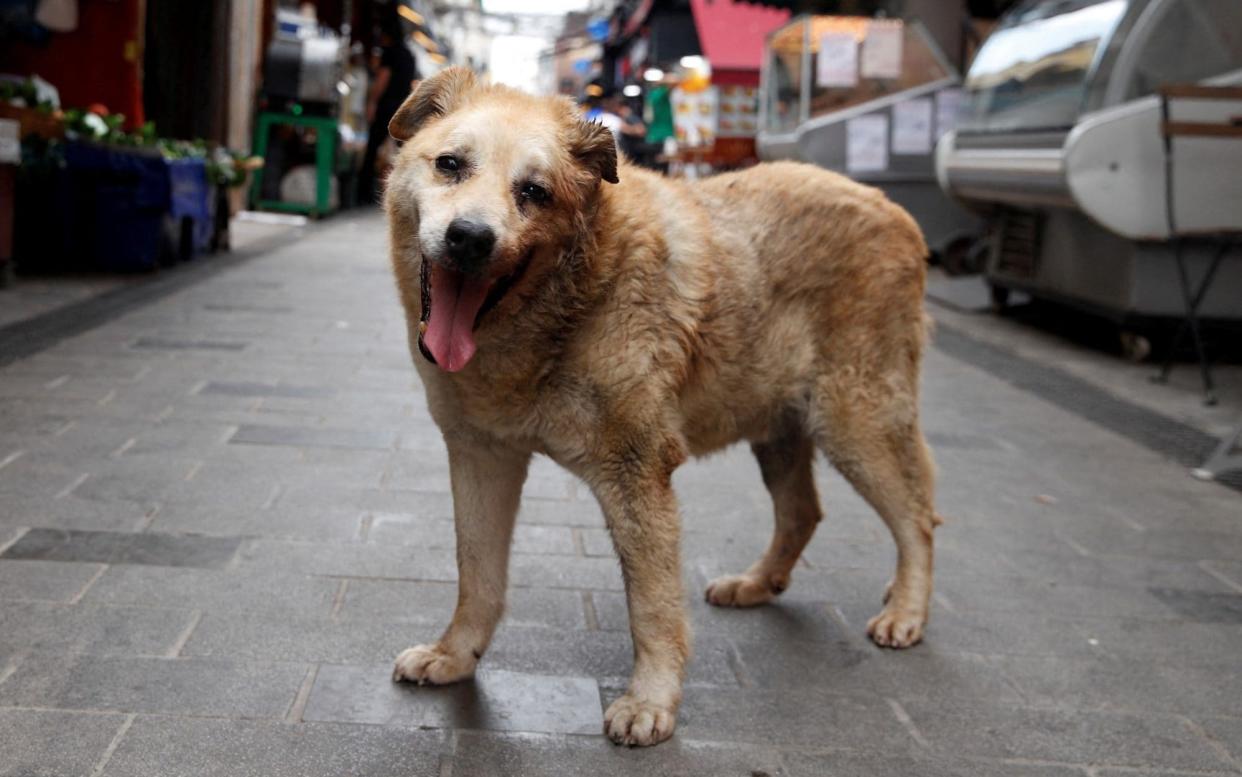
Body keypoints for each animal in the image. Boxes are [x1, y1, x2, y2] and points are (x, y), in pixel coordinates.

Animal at [382, 66, 933, 744]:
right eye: (450, 164)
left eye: (534, 191)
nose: (470, 239)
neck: (572, 299)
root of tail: (894, 209)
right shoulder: (482, 455)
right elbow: (477, 573)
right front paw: (455, 655)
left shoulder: (638, 473)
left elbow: (652, 606)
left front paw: (651, 701)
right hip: (779, 427)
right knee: (804, 512)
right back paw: (757, 585)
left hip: (857, 424)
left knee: (918, 518)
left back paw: (906, 610)